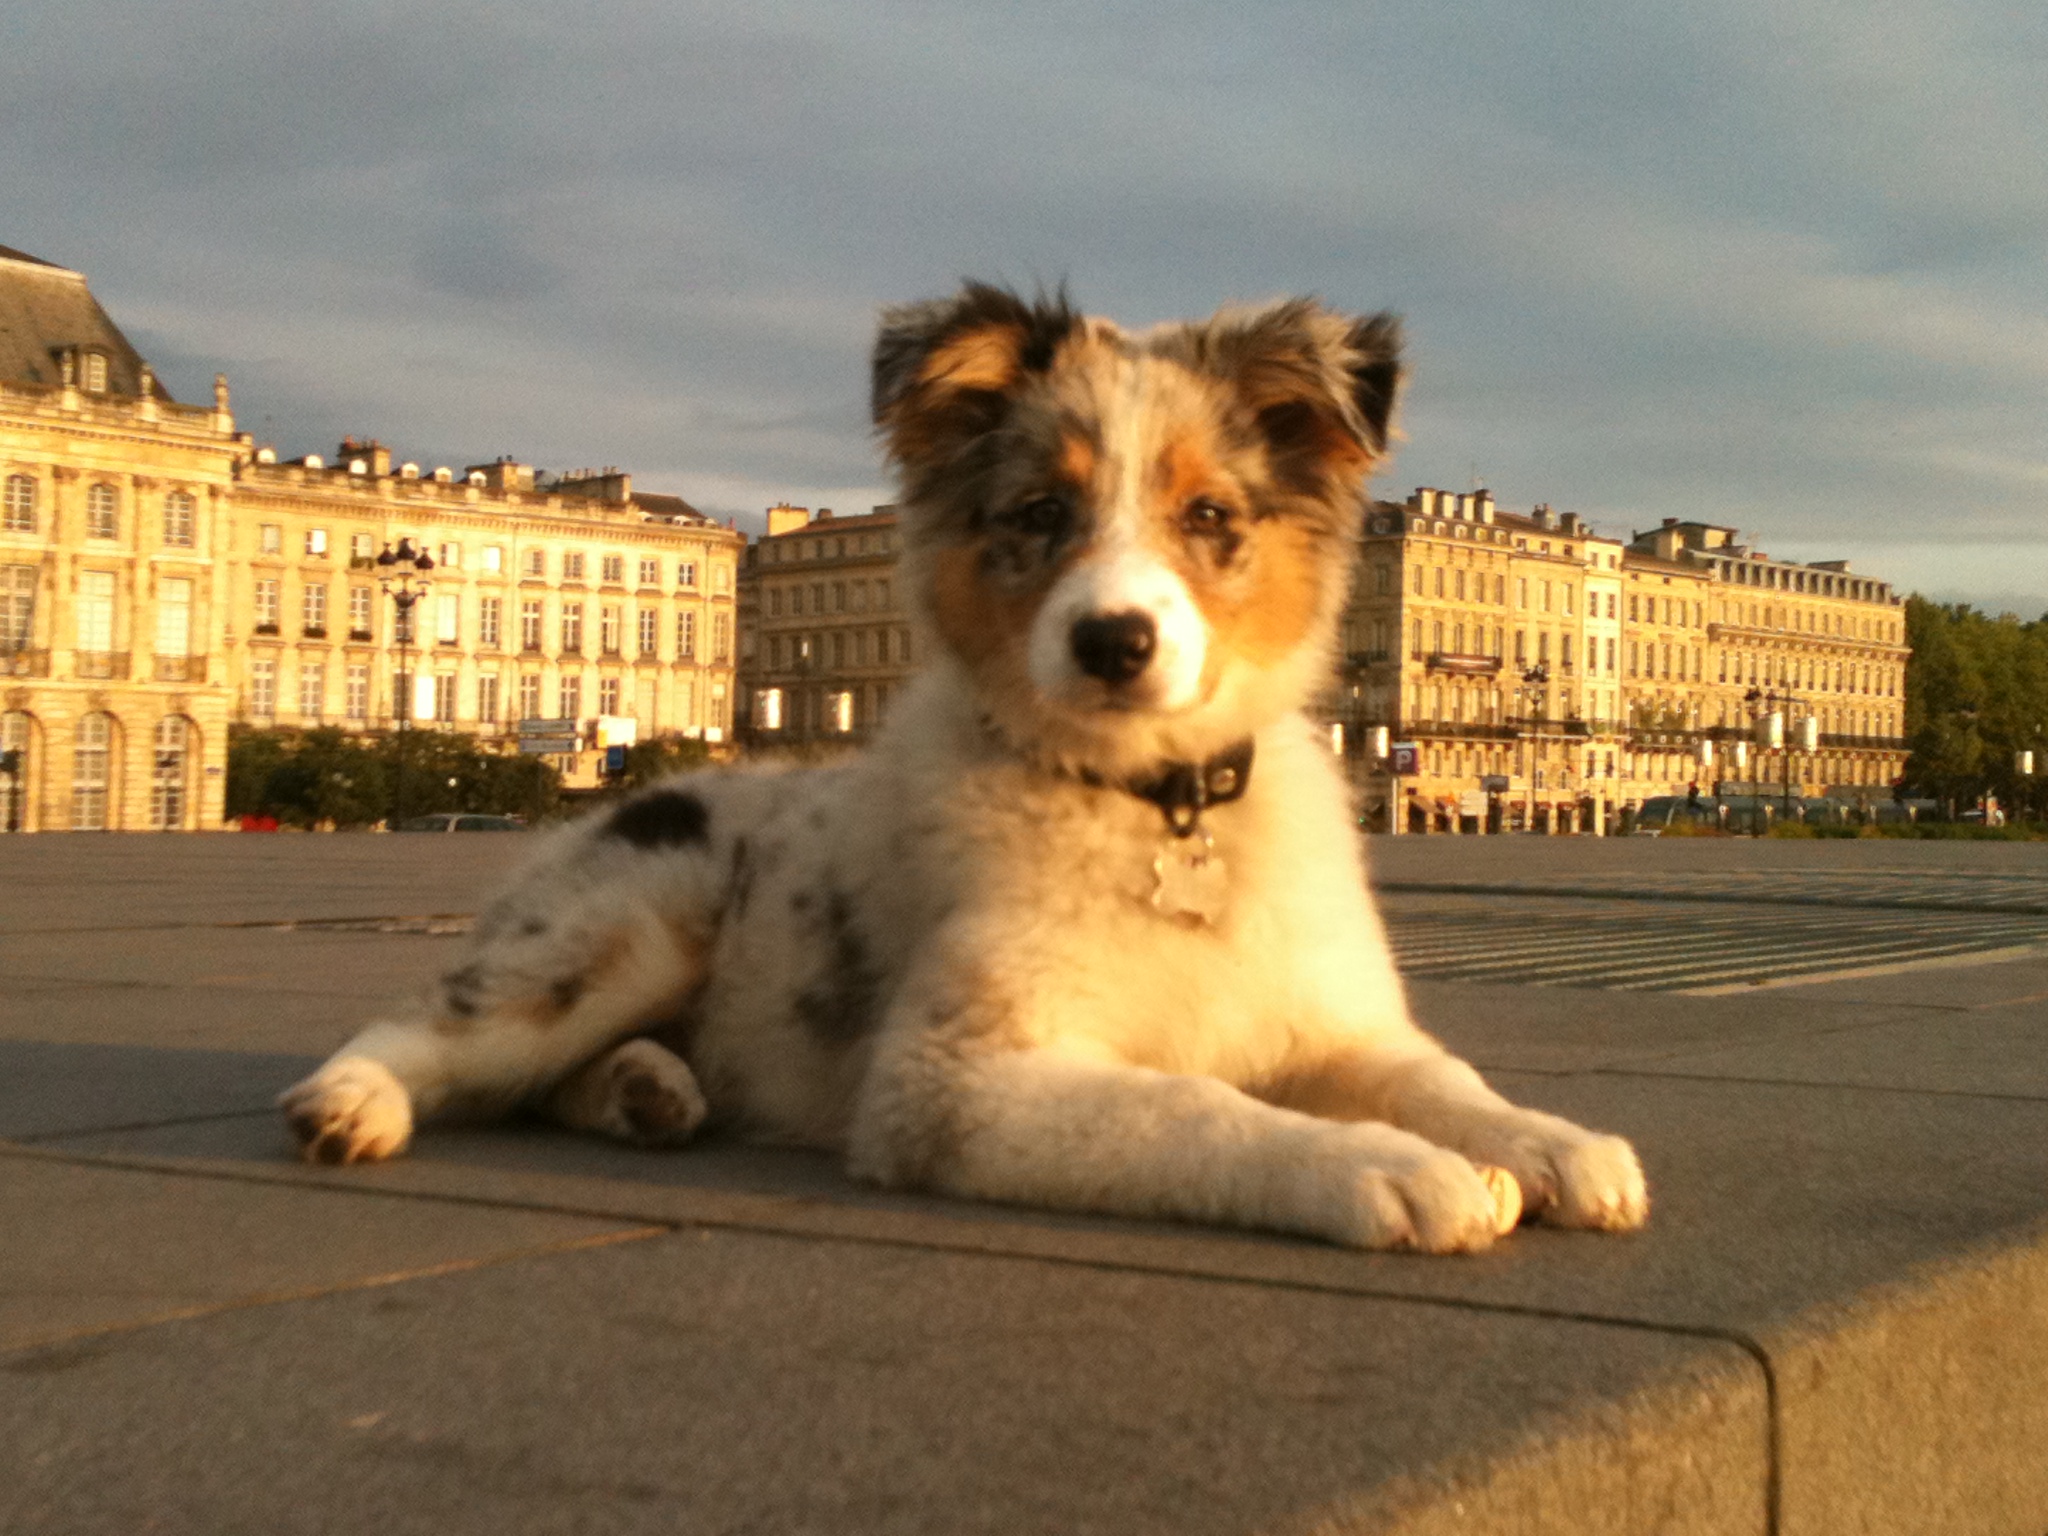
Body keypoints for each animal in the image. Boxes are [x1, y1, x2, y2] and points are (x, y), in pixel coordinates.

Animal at [279, 284, 1648, 1253]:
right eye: (1040, 512)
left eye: (1209, 517)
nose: (1111, 641)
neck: (1152, 808)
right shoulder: (954, 1079)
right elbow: (1192, 1107)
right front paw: (1386, 1168)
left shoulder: (1329, 1021)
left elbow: (1444, 1076)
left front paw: (1546, 1144)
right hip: (617, 931)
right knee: (437, 1026)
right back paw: (351, 1105)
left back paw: (644, 1092)